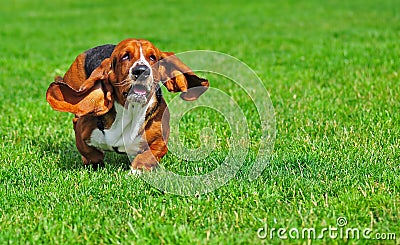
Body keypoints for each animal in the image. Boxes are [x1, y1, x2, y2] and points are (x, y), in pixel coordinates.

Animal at [46, 39, 209, 171]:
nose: (141, 70)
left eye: (152, 57)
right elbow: (89, 152)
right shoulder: (82, 130)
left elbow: (148, 156)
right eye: (125, 56)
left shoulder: (161, 141)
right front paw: (94, 162)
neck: (131, 111)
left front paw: (136, 171)